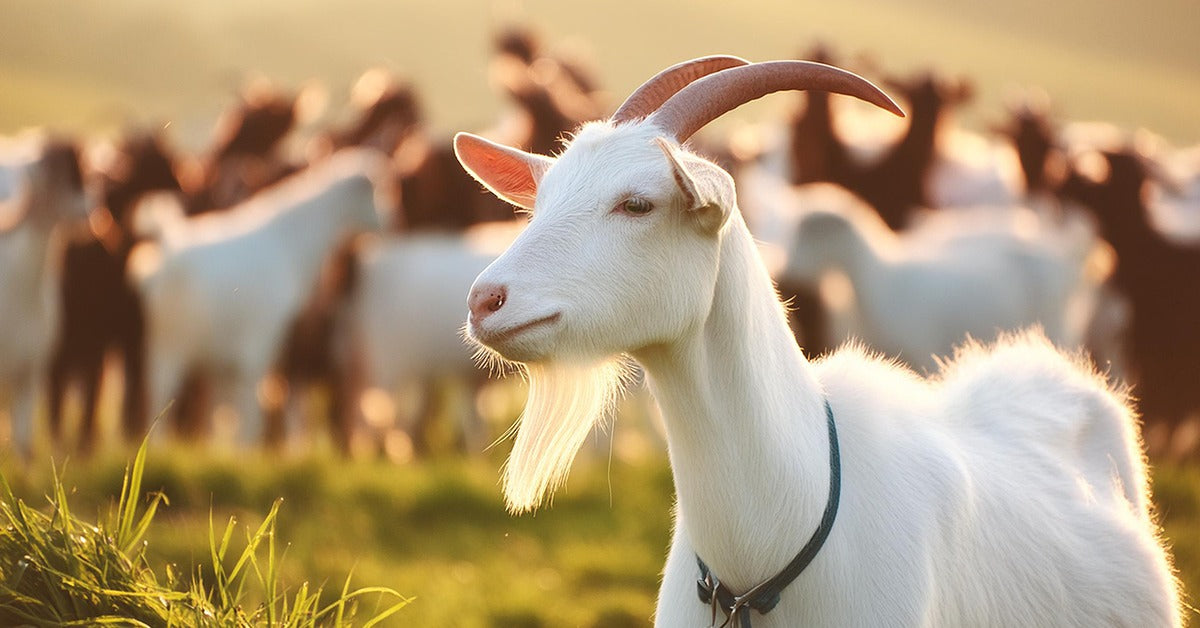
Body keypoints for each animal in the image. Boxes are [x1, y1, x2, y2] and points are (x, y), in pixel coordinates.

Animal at [130, 148, 389, 446]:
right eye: (375, 190)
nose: (389, 220)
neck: (286, 245)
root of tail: (165, 247)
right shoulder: (258, 347)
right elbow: (249, 413)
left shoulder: (236, 359)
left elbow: (232, 412)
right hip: (170, 345)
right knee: (160, 394)